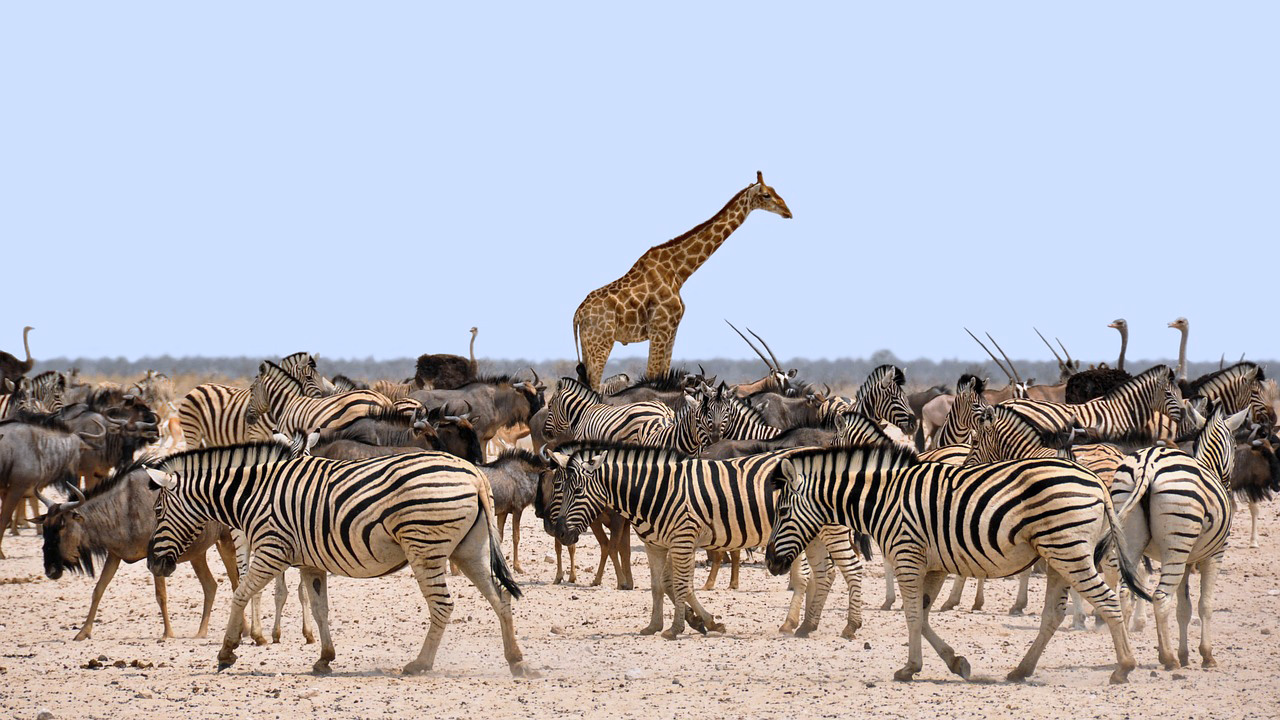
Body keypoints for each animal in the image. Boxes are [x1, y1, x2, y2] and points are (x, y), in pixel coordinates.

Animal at [572, 171, 792, 390]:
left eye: (774, 191)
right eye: (766, 195)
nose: (788, 212)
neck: (679, 272)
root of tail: (577, 315)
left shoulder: (672, 330)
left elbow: (663, 373)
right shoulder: (659, 329)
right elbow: (651, 376)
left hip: (588, 345)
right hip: (601, 343)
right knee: (594, 386)